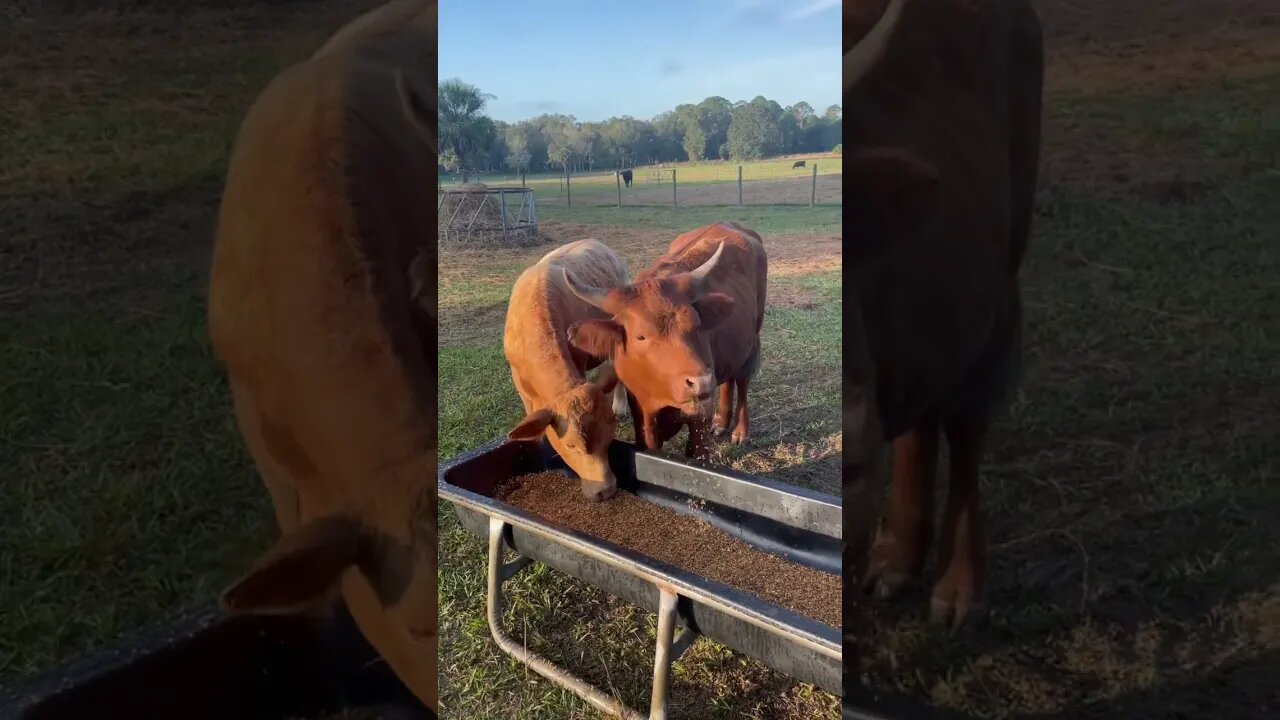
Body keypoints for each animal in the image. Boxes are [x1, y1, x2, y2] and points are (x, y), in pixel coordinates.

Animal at [565, 220, 762, 453]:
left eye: (697, 325)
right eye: (640, 336)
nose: (702, 383)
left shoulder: (699, 420)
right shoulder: (643, 417)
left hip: (753, 338)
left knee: (742, 380)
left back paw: (740, 431)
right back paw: (721, 421)